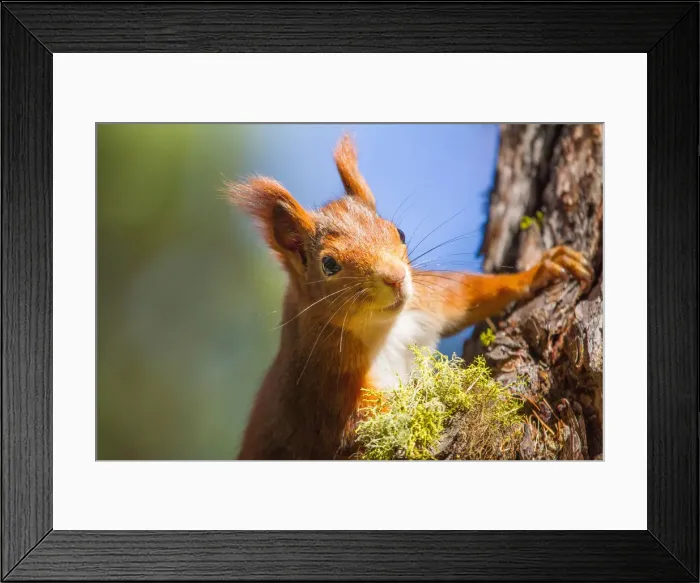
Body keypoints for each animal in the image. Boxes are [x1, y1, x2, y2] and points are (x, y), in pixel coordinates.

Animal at [226, 134, 593, 460]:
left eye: (398, 232)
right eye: (329, 264)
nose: (395, 277)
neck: (386, 327)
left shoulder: (427, 301)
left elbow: (469, 293)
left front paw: (541, 270)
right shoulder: (326, 384)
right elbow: (371, 423)